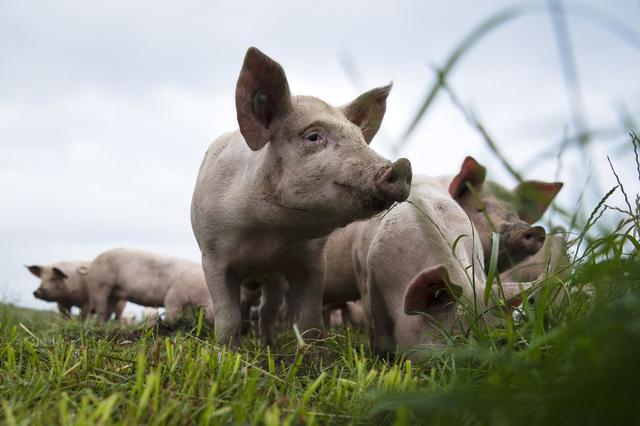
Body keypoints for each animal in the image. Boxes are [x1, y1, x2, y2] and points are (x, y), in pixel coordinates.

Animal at [87, 246, 215, 322]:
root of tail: (94, 261)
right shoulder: (175, 294)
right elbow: (172, 308)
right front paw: (172, 325)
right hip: (100, 284)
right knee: (101, 308)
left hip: (113, 294)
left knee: (108, 310)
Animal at [190, 46, 412, 346]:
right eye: (313, 136)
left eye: (360, 138)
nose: (401, 166)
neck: (267, 234)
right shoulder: (213, 255)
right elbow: (228, 318)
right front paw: (225, 352)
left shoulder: (311, 260)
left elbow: (310, 320)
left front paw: (315, 354)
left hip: (274, 281)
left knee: (268, 312)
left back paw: (269, 345)